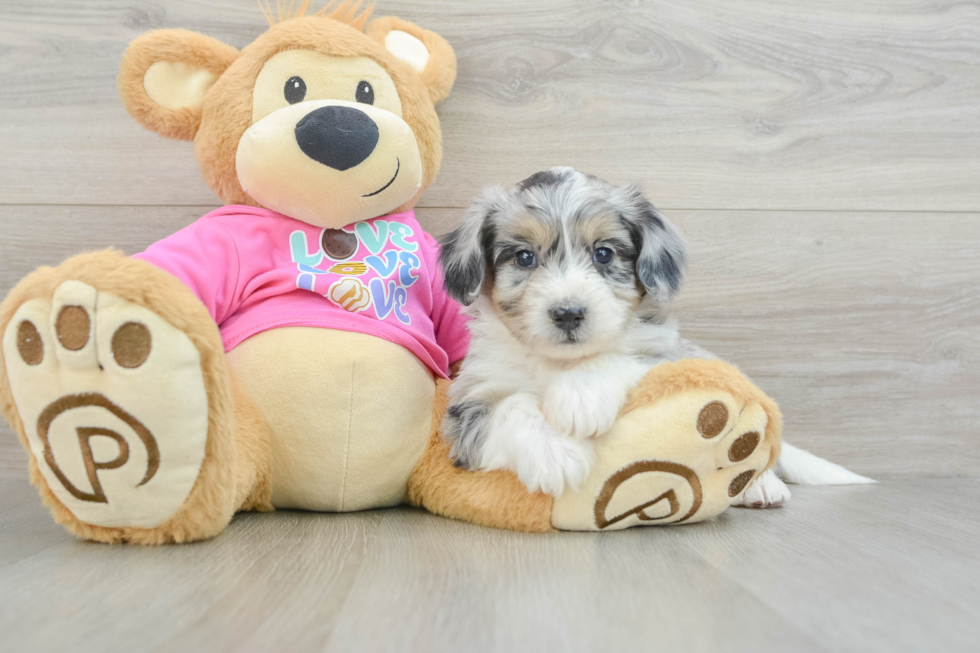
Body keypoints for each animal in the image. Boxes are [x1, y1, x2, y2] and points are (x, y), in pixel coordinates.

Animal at [440, 167, 684, 494]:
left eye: (604, 254)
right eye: (524, 257)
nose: (568, 314)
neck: (558, 362)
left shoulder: (667, 355)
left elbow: (615, 356)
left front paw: (581, 396)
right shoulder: (468, 402)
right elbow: (510, 405)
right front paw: (554, 450)